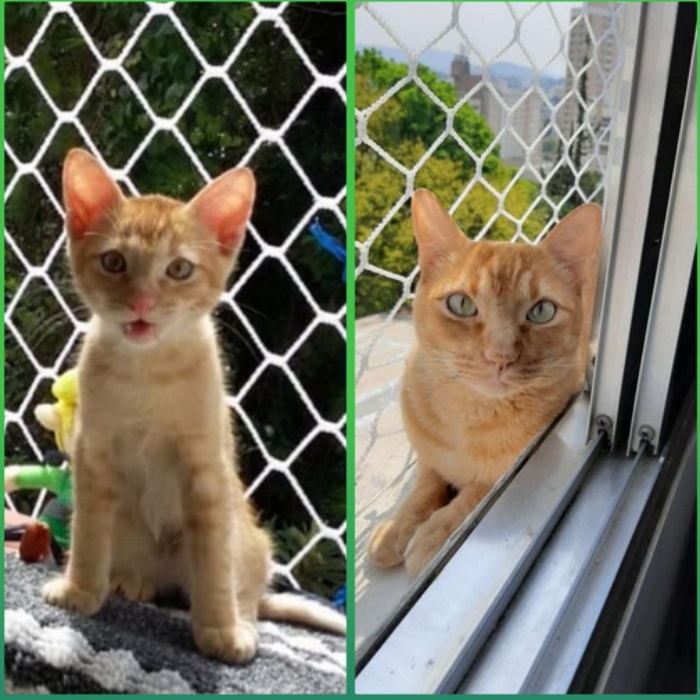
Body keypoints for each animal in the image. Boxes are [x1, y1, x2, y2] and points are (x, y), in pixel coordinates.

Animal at [41, 148, 344, 660]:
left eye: (179, 269)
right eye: (114, 261)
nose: (142, 302)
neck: (148, 372)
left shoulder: (207, 466)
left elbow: (214, 558)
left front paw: (220, 628)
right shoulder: (92, 454)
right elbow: (88, 532)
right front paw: (80, 588)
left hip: (251, 541)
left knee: (246, 586)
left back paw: (241, 614)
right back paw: (131, 582)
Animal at [366, 189, 600, 576]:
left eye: (542, 311)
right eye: (461, 304)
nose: (500, 356)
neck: (468, 418)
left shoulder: (501, 476)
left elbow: (471, 496)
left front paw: (431, 535)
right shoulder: (428, 458)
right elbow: (425, 486)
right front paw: (399, 528)